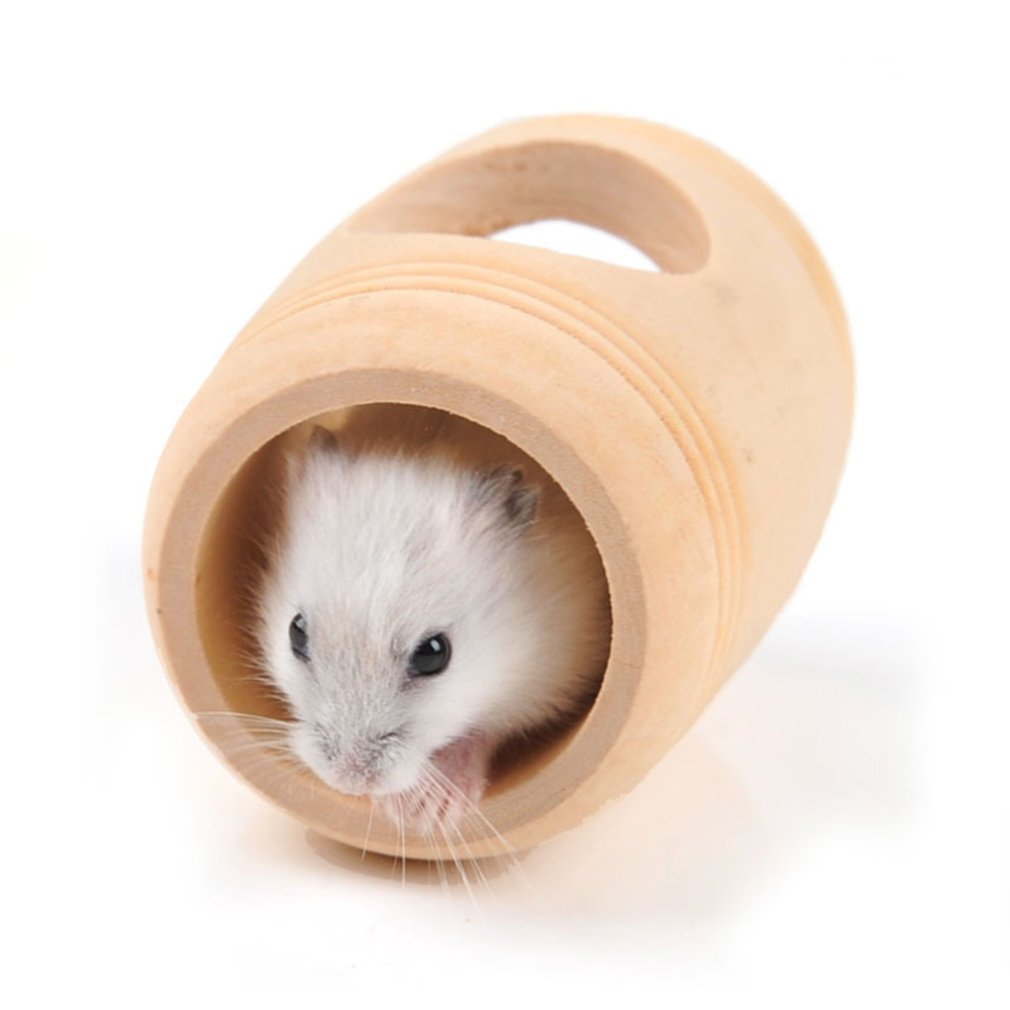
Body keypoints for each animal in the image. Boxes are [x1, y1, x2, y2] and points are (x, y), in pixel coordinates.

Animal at [255, 404, 610, 833]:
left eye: (434, 654)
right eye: (296, 633)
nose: (348, 781)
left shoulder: (550, 674)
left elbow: (486, 727)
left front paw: (421, 813)